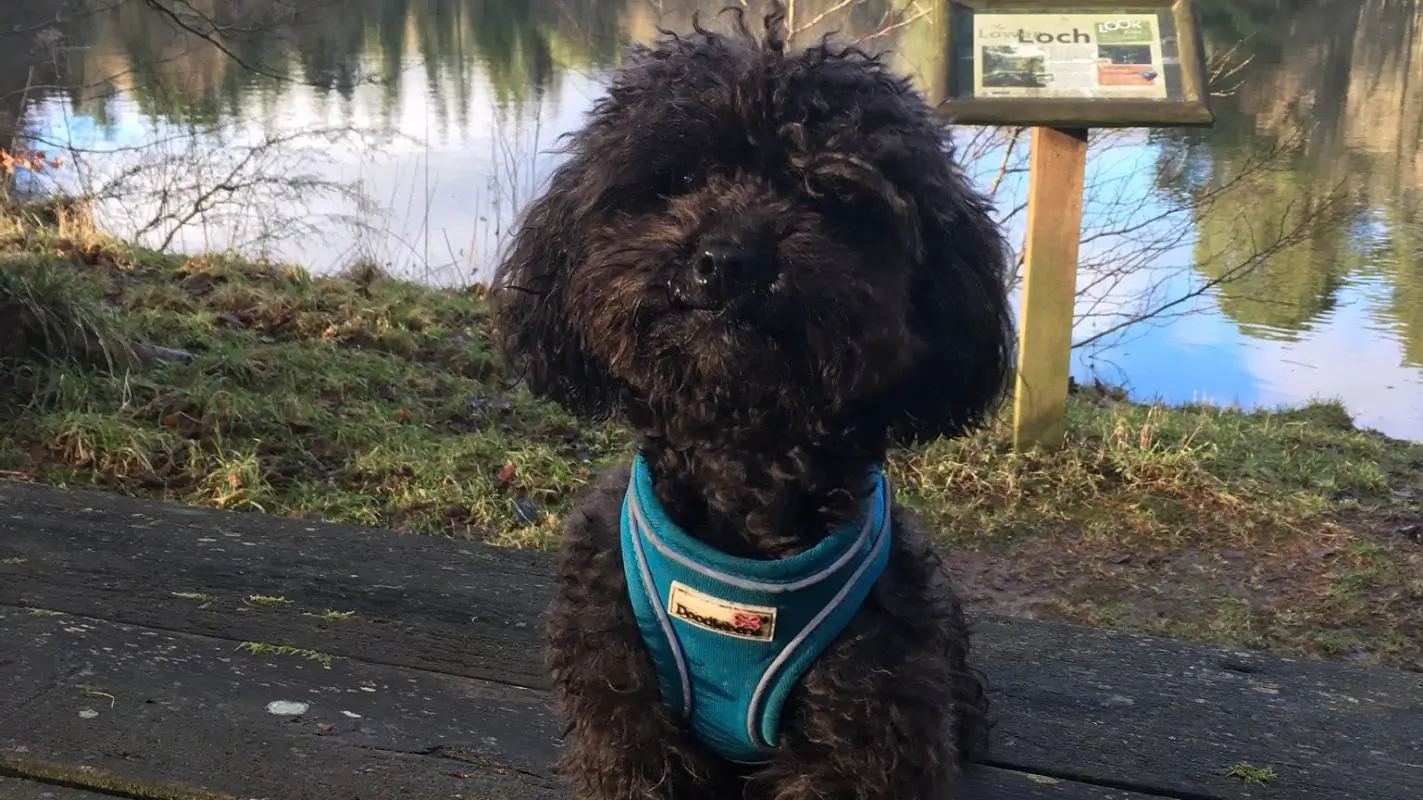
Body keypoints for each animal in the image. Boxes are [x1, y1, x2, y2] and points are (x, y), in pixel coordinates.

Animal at [495, 6, 1018, 797]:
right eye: (678, 179)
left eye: (830, 197)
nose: (726, 261)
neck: (741, 468)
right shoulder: (626, 717)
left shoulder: (865, 727)